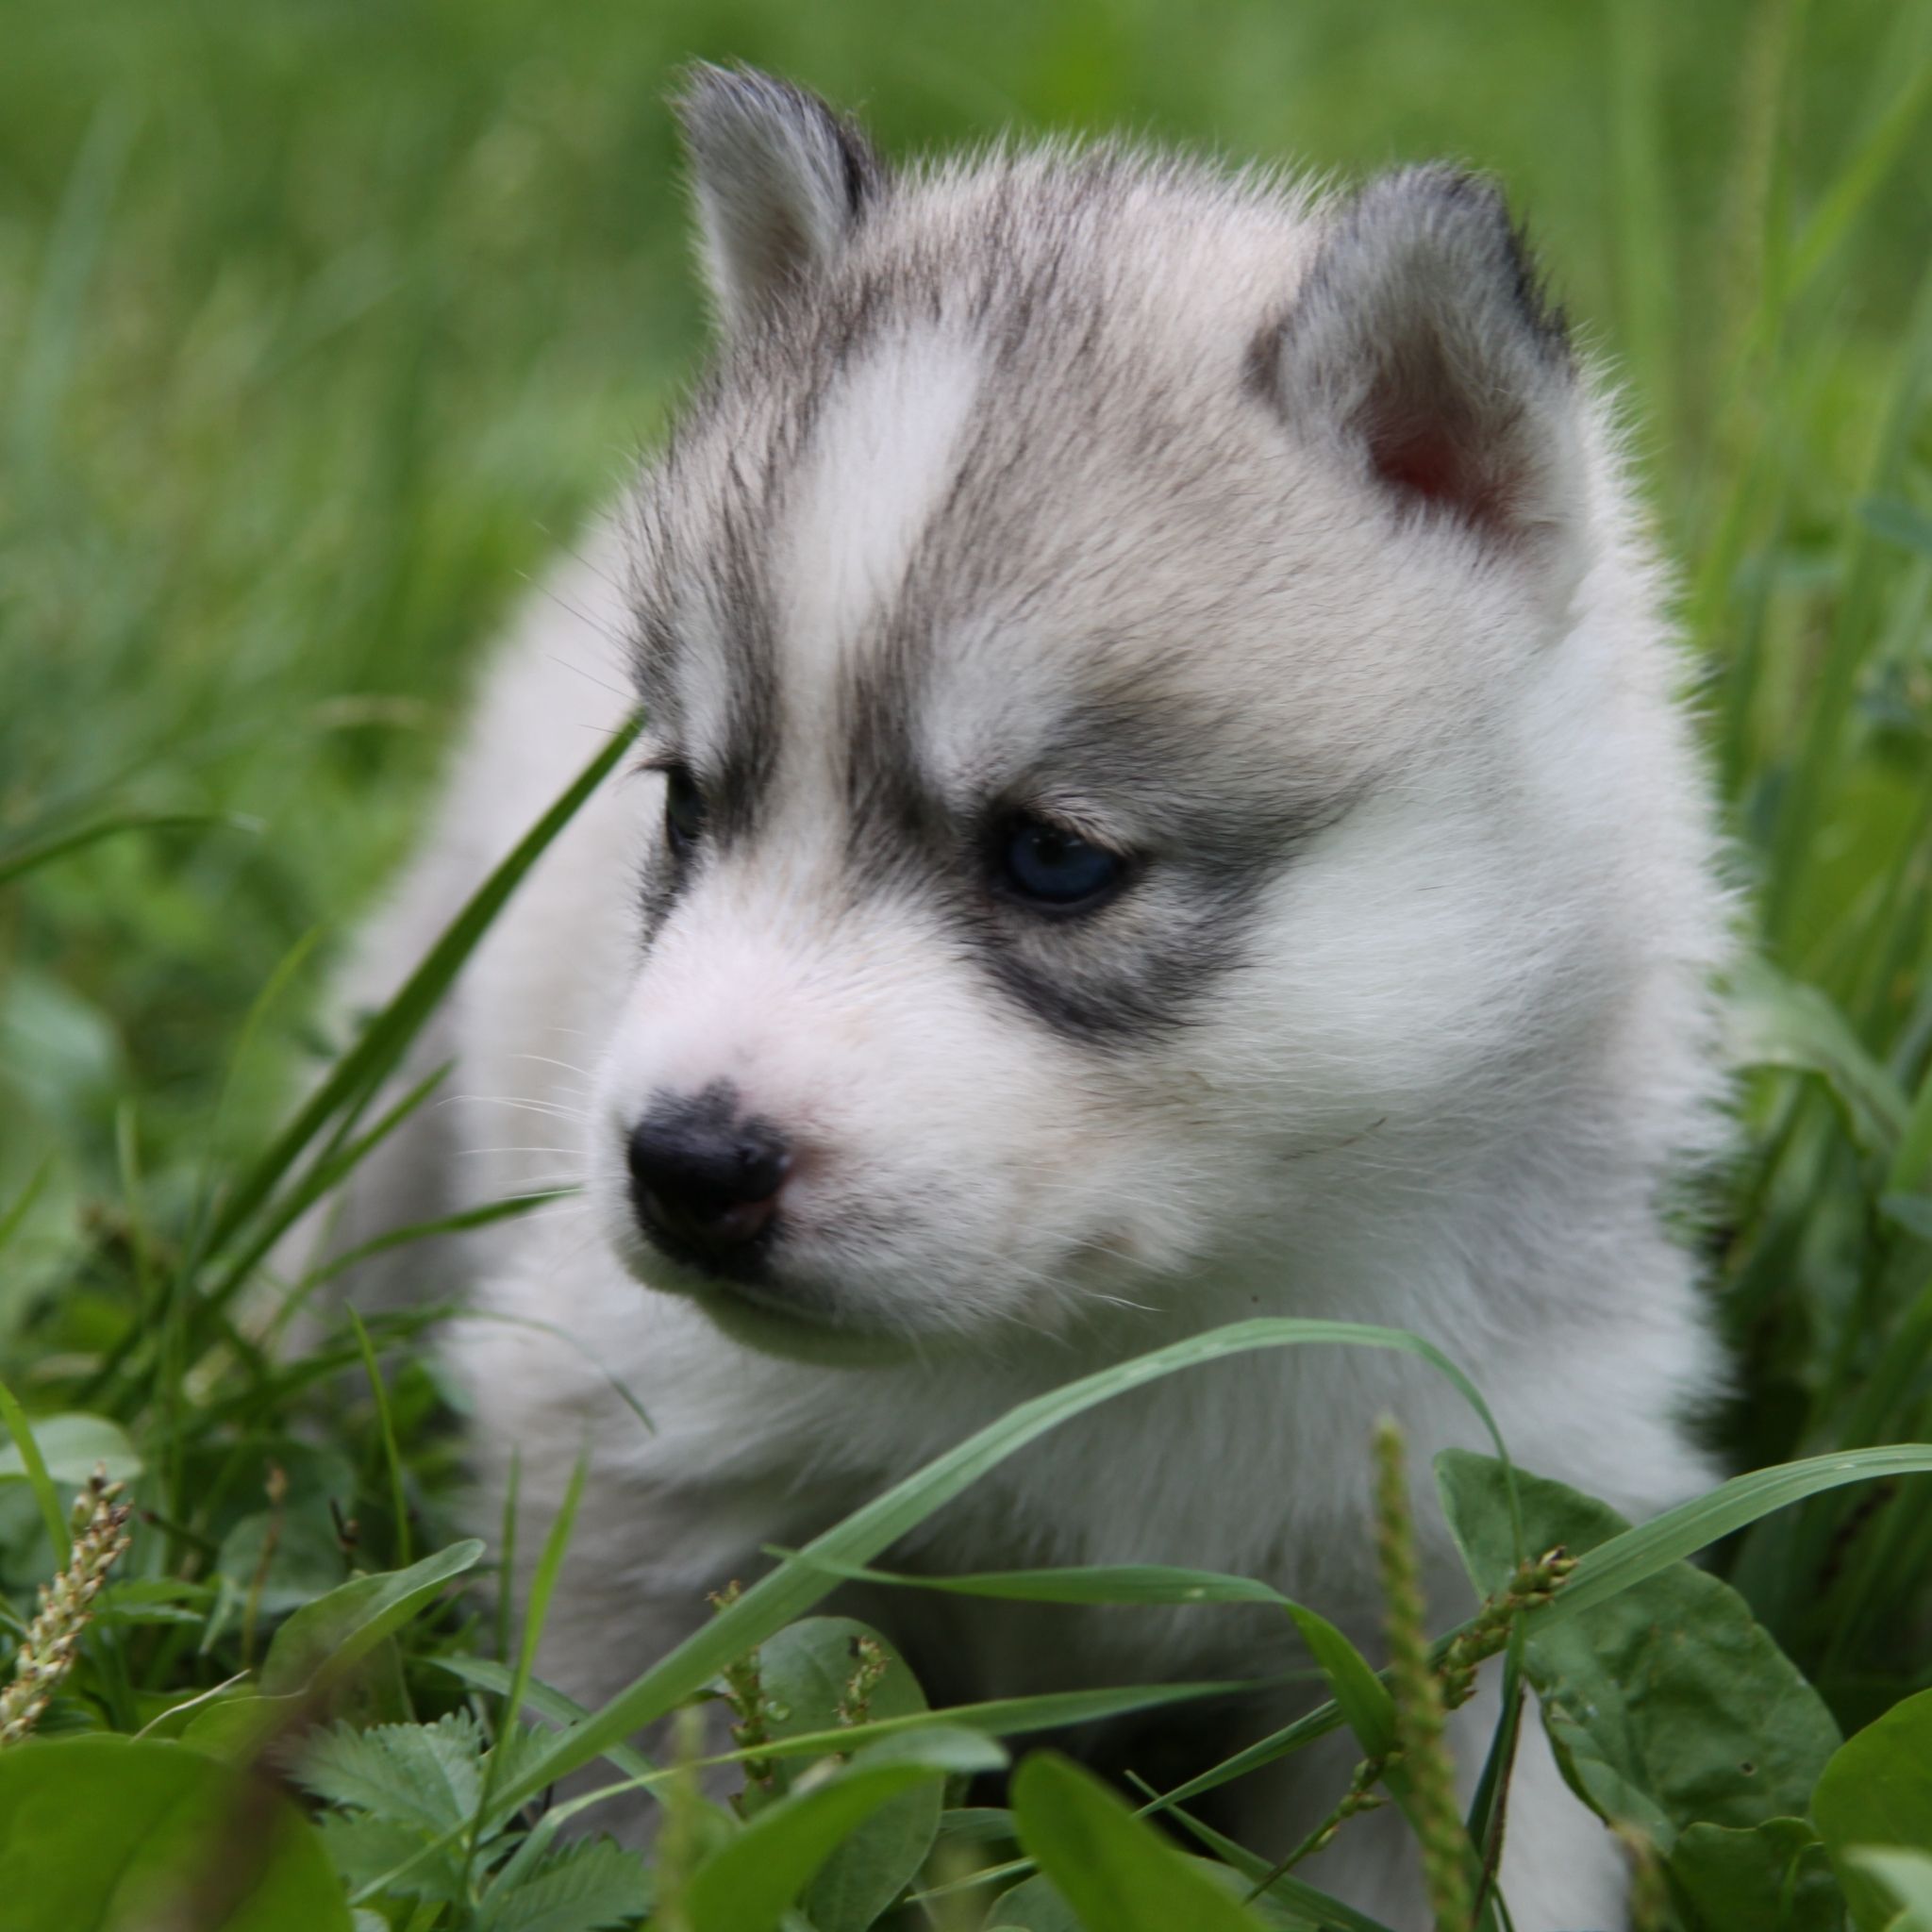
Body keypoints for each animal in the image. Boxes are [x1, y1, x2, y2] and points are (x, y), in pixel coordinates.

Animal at [325, 64, 1731, 1932]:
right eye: (688, 801)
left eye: (1055, 857)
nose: (684, 1165)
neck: (1143, 1329)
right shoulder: (637, 1473)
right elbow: (636, 1804)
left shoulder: (1473, 1579)